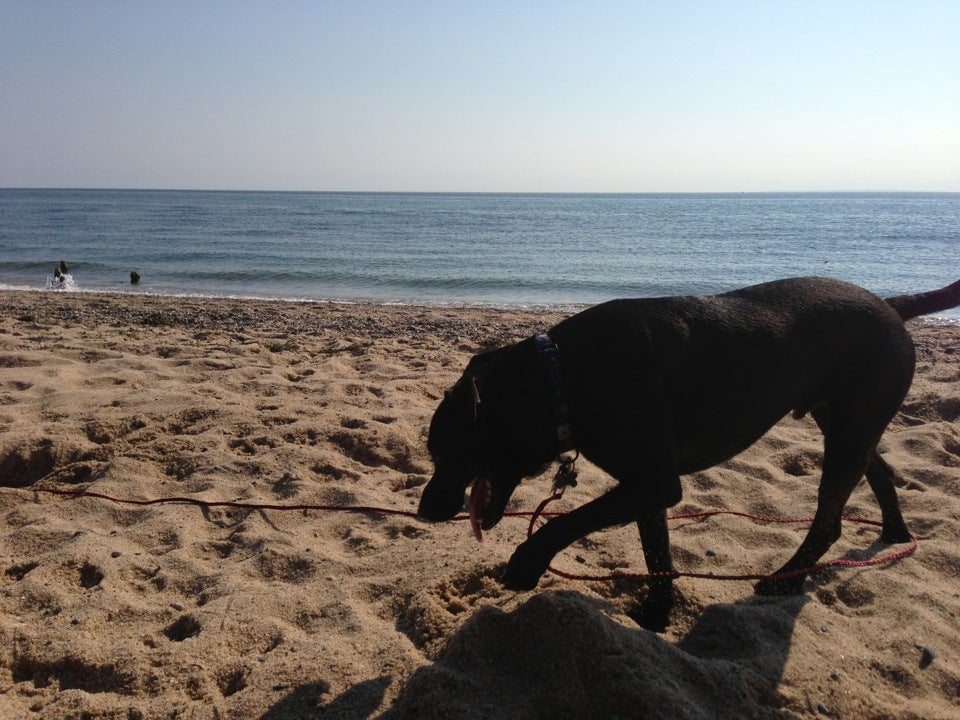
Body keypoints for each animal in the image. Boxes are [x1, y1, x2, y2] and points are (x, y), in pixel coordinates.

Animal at [418, 278, 960, 632]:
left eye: (445, 451)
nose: (424, 510)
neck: (561, 378)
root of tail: (890, 304)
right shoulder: (644, 484)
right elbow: (656, 551)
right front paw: (657, 614)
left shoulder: (654, 481)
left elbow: (567, 522)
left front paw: (526, 563)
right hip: (845, 420)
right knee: (878, 468)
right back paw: (894, 531)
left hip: (852, 422)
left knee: (831, 516)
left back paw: (784, 581)